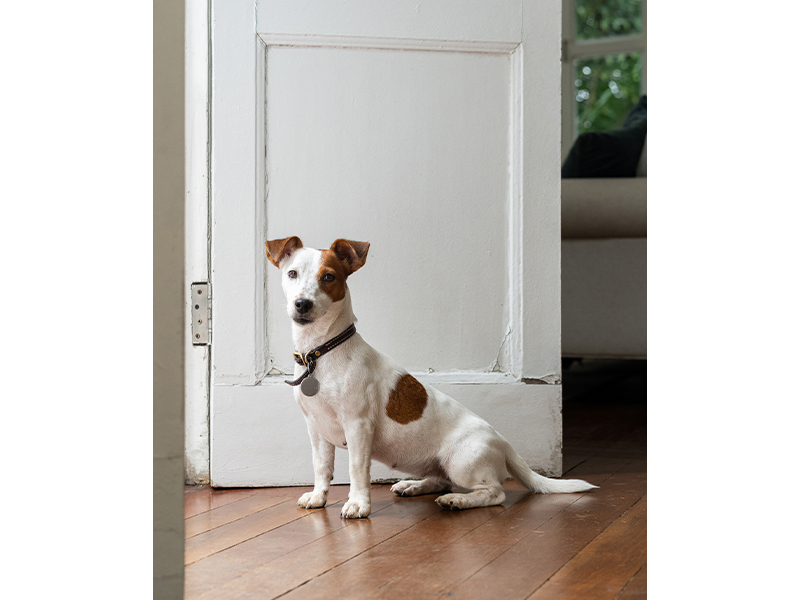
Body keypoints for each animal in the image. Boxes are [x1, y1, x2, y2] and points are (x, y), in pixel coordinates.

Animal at [266, 236, 597, 519]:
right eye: (292, 273)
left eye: (329, 277)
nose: (302, 304)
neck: (320, 353)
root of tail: (503, 443)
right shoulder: (316, 428)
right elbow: (322, 467)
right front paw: (318, 497)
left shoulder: (358, 426)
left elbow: (357, 470)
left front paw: (358, 504)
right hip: (439, 465)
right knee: (441, 480)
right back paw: (414, 485)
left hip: (461, 462)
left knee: (494, 492)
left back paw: (458, 501)